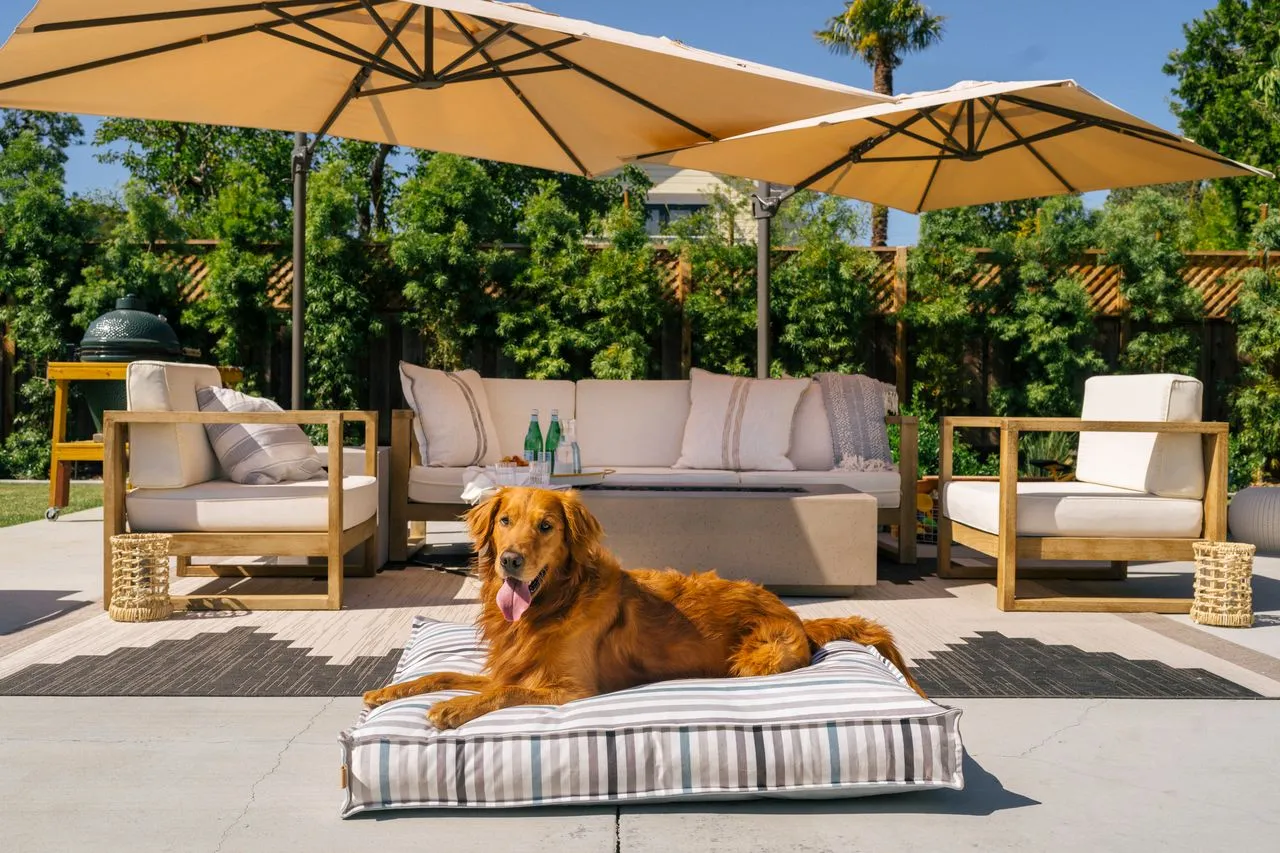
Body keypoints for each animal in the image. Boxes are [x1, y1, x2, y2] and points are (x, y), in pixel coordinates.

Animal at [366, 484, 926, 722]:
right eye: (505, 521)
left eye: (545, 527)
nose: (510, 561)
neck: (554, 603)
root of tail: (798, 618)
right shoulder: (512, 666)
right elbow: (442, 673)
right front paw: (389, 691)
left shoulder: (569, 689)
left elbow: (501, 694)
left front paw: (453, 708)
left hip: (754, 661)